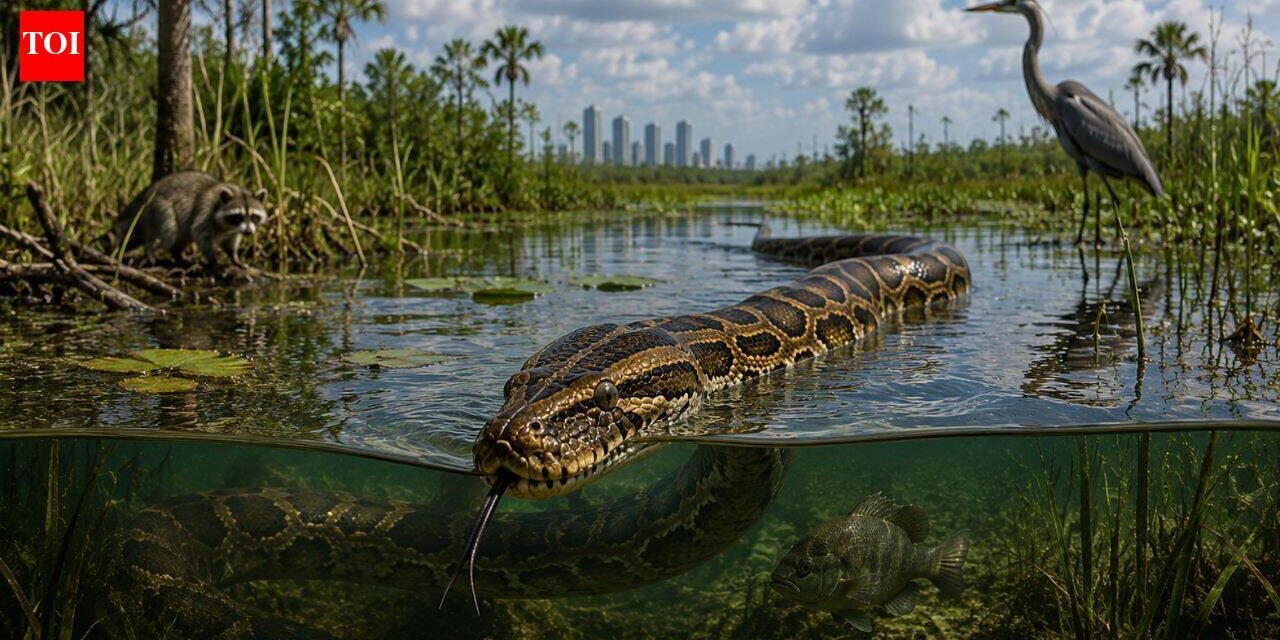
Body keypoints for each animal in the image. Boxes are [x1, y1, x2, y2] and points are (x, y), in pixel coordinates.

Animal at [107, 172, 267, 274]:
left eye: (254, 216)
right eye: (238, 216)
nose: (248, 232)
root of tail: (146, 195)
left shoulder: (233, 230)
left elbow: (231, 242)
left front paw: (234, 257)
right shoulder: (205, 210)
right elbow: (199, 233)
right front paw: (213, 261)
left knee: (182, 237)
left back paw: (178, 255)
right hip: (160, 208)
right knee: (169, 232)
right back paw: (150, 249)